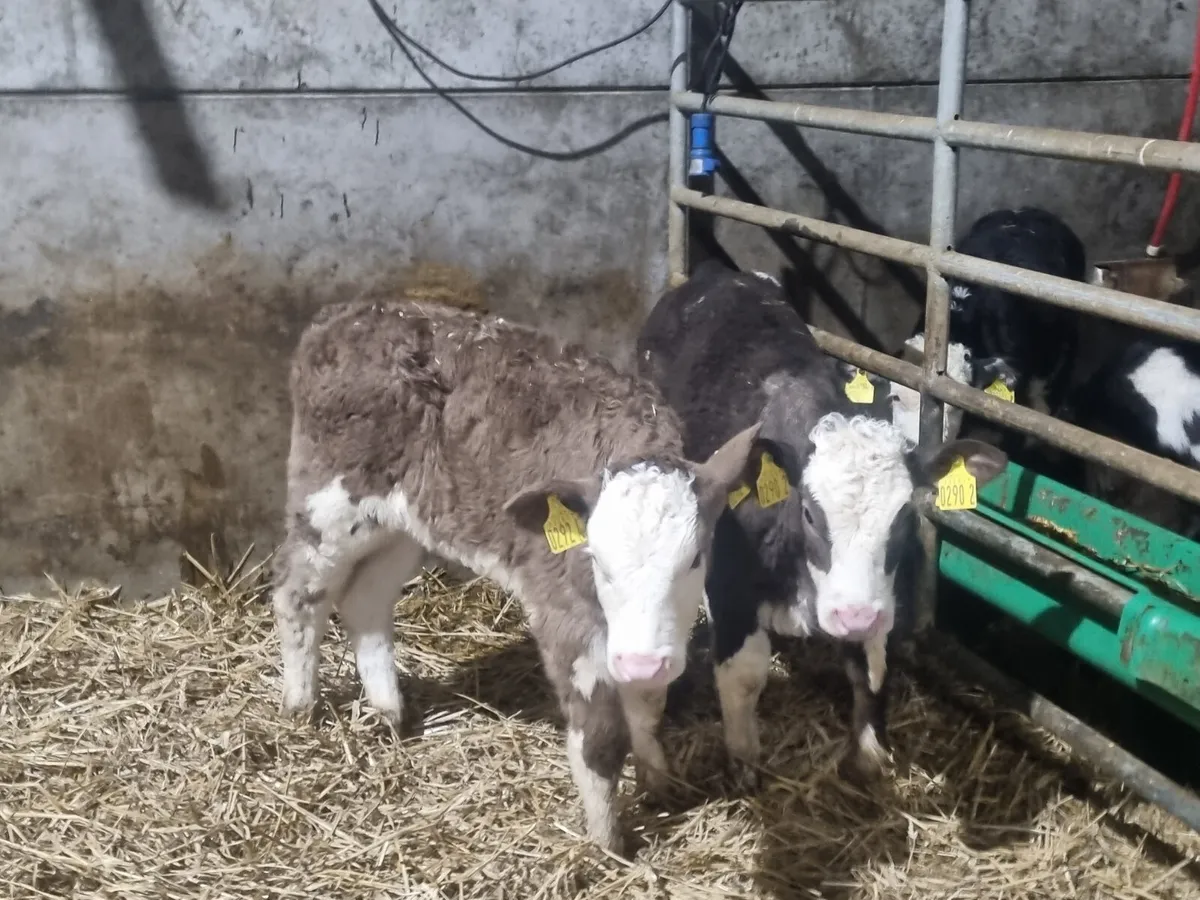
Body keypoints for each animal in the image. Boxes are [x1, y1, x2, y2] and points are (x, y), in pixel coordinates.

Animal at [274, 298, 762, 852]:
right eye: (596, 559)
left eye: (695, 559)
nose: (641, 661)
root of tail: (348, 313)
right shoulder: (564, 613)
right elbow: (601, 738)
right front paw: (608, 844)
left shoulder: (646, 639)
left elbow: (646, 702)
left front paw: (658, 783)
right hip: (329, 501)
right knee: (298, 594)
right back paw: (300, 707)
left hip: (401, 524)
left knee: (366, 599)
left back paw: (389, 712)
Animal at [636, 264, 1007, 785]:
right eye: (810, 512)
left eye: (904, 514)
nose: (853, 615)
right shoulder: (729, 581)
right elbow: (744, 673)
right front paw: (744, 760)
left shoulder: (878, 591)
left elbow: (871, 664)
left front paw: (869, 750)